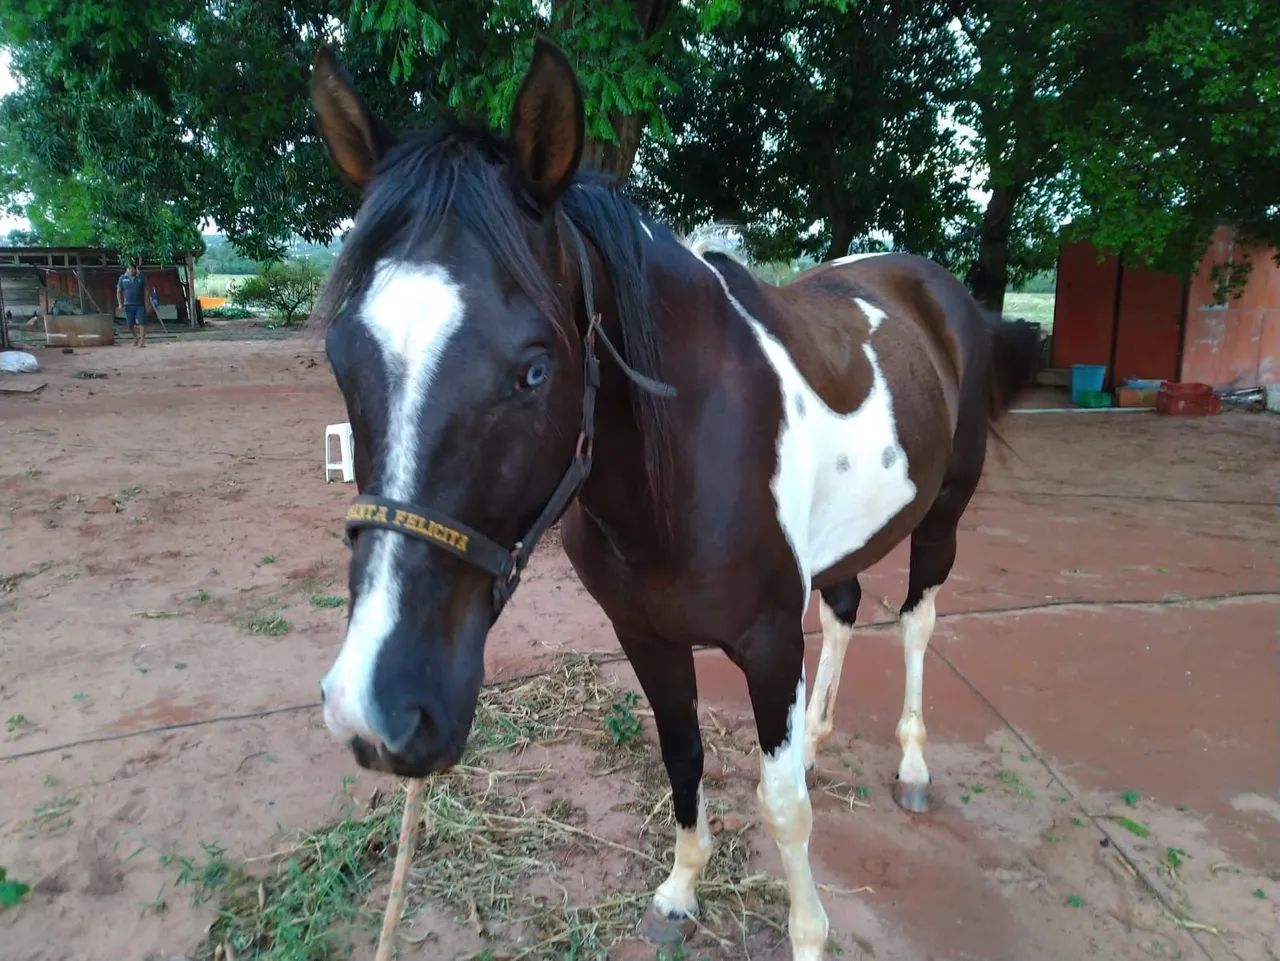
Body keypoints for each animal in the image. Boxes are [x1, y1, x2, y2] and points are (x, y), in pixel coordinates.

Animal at [309, 39, 1041, 960]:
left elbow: (782, 804)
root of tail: (936, 290)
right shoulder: (646, 636)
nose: (375, 709)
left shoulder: (769, 641)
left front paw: (807, 932)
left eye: (534, 368)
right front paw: (681, 889)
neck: (682, 466)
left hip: (942, 514)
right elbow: (683, 756)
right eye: (340, 355)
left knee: (916, 622)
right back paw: (822, 736)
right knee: (845, 610)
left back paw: (911, 764)